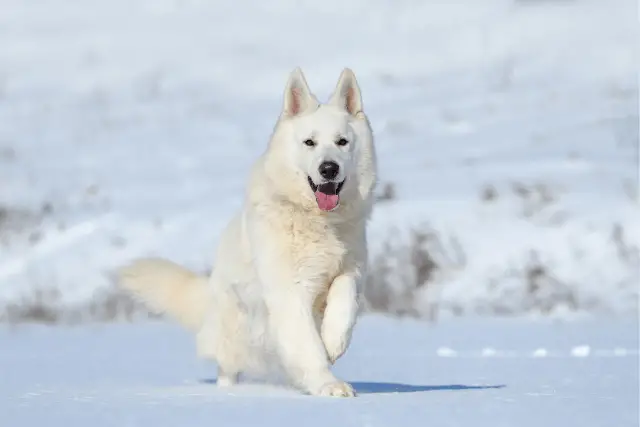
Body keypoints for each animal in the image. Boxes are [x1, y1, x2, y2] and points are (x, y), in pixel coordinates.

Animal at [118, 67, 378, 398]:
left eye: (342, 141)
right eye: (309, 142)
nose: (329, 169)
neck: (318, 221)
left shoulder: (350, 269)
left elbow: (344, 302)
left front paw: (334, 342)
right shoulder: (289, 292)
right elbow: (307, 346)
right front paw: (328, 385)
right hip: (235, 339)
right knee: (227, 369)